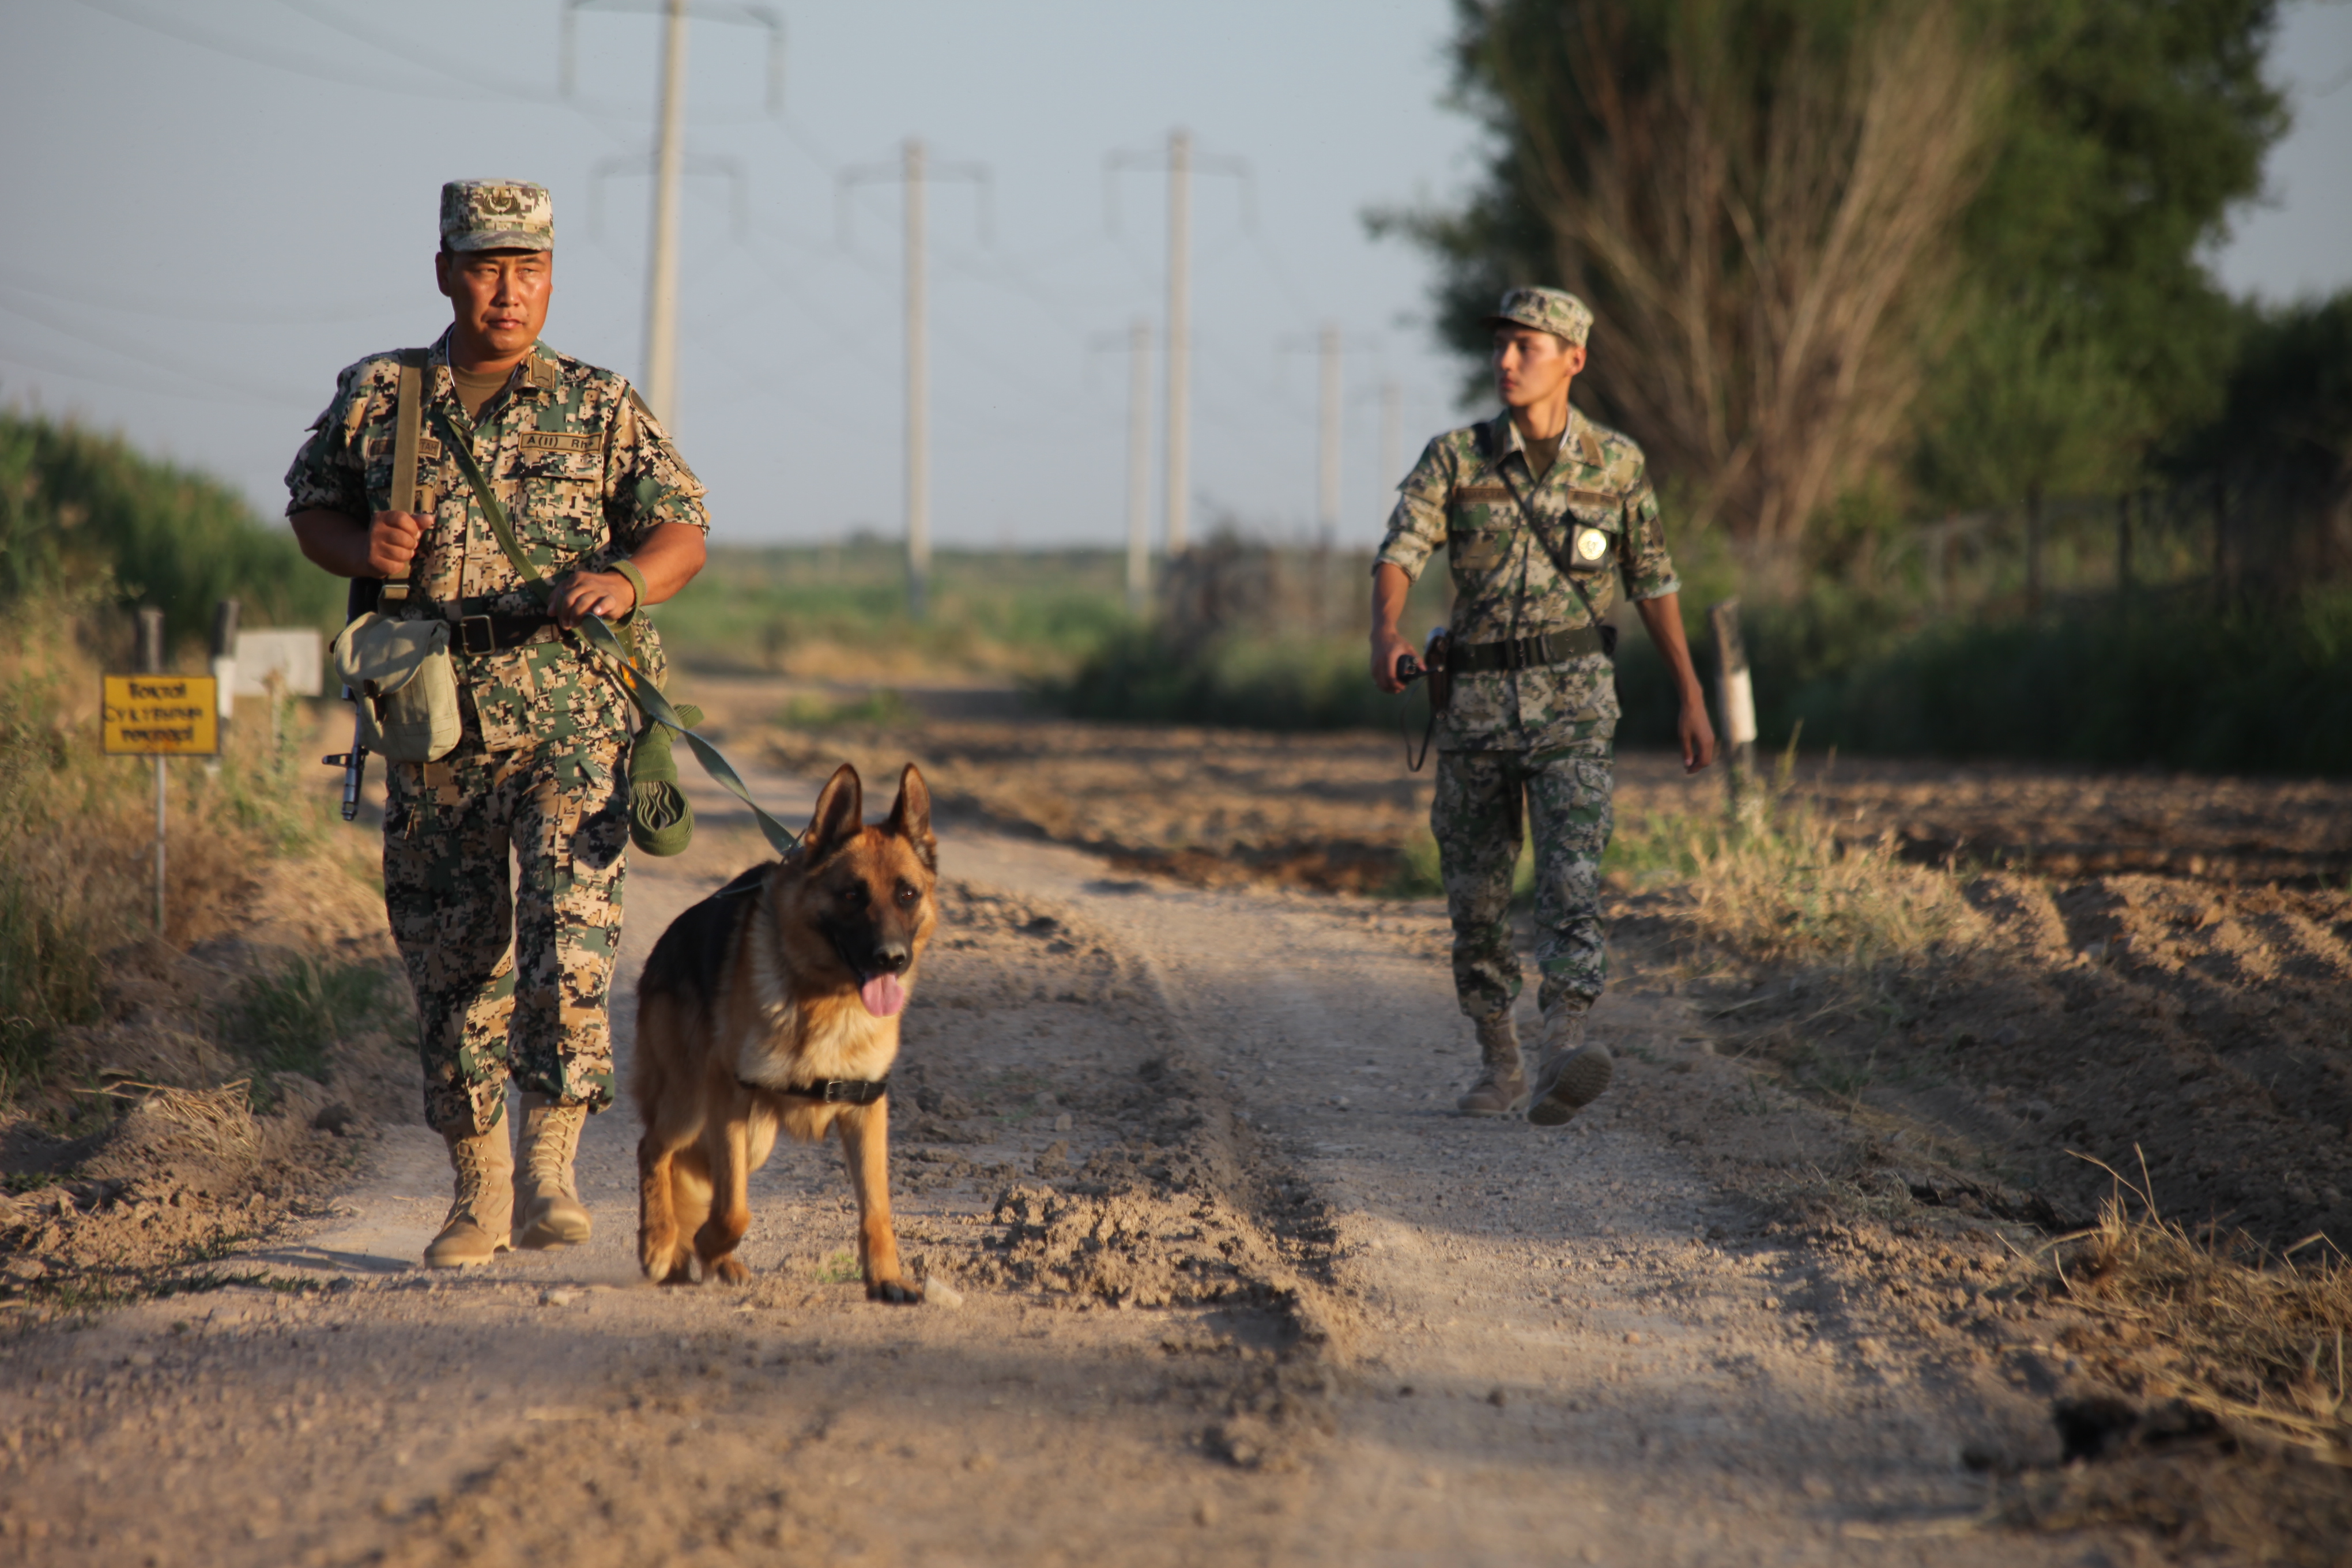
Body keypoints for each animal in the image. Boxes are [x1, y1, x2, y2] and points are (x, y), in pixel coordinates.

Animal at [644, 762, 945, 1298]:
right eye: (852, 895)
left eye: (907, 895)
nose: (892, 958)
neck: (829, 1001)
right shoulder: (730, 1096)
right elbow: (734, 1211)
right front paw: (703, 1244)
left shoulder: (866, 1109)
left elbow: (877, 1209)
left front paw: (886, 1278)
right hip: (690, 1106)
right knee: (655, 1150)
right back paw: (660, 1243)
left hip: (753, 1138)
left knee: (690, 1169)